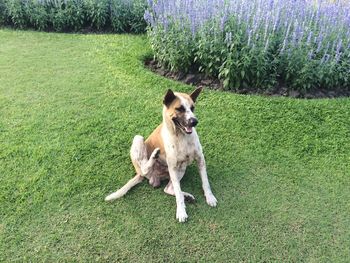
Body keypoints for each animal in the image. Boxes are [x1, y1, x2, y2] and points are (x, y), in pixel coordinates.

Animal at [105, 87, 217, 223]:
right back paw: (154, 155)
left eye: (192, 108)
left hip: (181, 169)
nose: (194, 122)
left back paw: (186, 196)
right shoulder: (173, 166)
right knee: (146, 169)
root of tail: (153, 177)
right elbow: (178, 195)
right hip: (139, 139)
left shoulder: (200, 159)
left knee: (168, 189)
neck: (181, 137)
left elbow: (205, 182)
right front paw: (181, 212)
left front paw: (210, 197)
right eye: (179, 108)